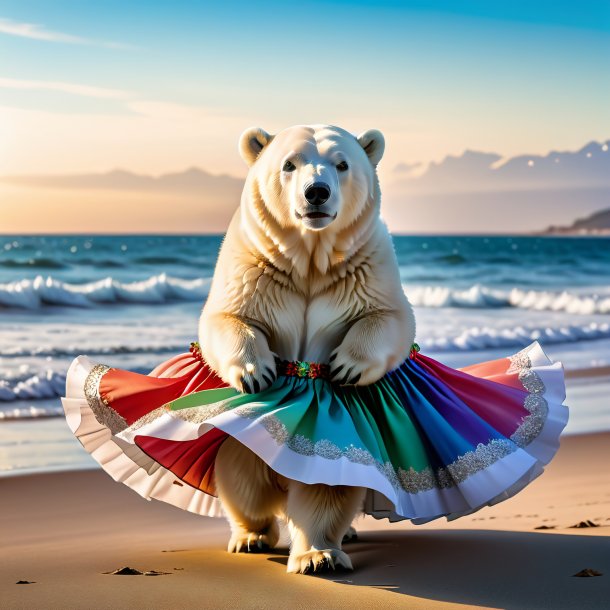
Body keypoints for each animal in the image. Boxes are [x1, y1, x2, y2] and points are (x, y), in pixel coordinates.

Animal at [198, 124, 414, 576]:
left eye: (342, 163)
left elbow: (389, 317)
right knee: (243, 473)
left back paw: (322, 551)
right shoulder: (254, 264)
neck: (310, 261)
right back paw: (251, 536)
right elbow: (226, 315)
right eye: (289, 164)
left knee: (325, 484)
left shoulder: (366, 266)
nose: (316, 192)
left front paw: (347, 366)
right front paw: (255, 371)